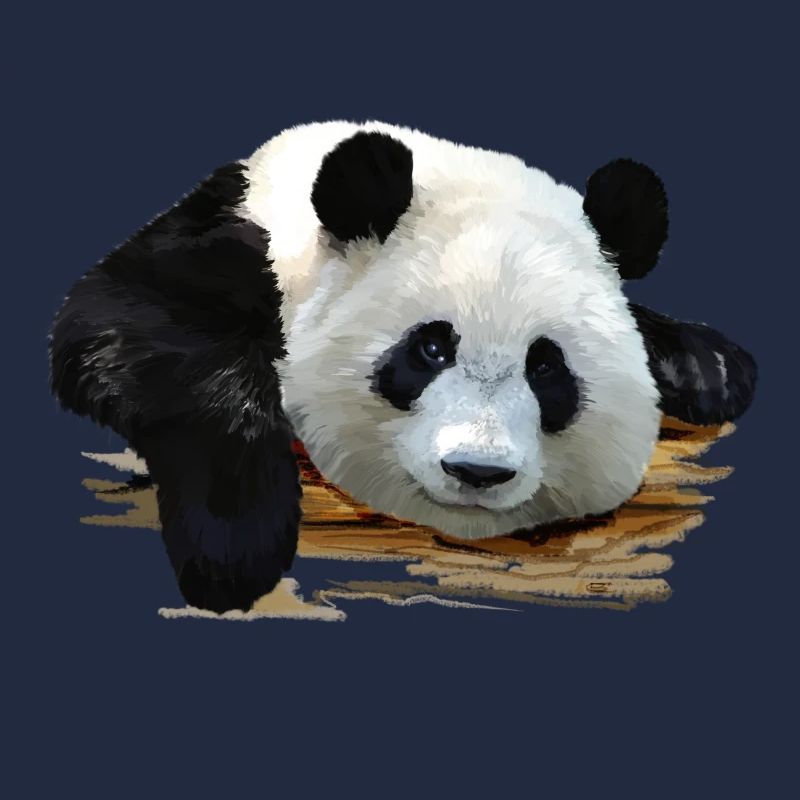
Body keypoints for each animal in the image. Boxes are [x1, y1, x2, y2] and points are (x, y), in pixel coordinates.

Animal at [49, 120, 757, 613]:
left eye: (546, 368)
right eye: (431, 349)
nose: (477, 471)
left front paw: (711, 367)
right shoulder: (228, 240)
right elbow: (122, 327)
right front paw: (233, 546)